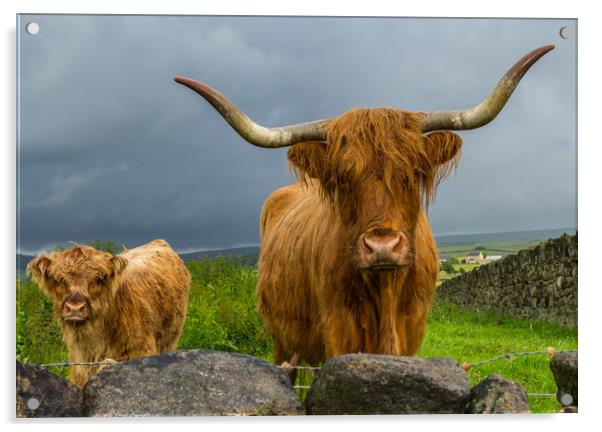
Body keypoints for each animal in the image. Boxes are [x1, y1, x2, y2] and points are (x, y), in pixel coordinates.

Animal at [173, 43, 552, 374]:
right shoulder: (338, 334)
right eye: (342, 178)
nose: (382, 246)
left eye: (414, 173)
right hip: (283, 340)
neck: (384, 295)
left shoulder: (411, 335)